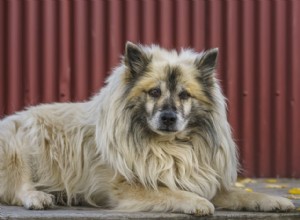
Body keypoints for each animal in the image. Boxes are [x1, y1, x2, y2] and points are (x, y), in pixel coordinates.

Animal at [0, 42, 296, 216]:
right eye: (154, 92)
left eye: (184, 95)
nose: (168, 117)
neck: (170, 146)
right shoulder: (127, 187)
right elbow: (169, 192)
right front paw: (197, 202)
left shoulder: (202, 179)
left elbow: (240, 193)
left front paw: (273, 200)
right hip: (19, 144)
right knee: (18, 188)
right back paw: (38, 197)